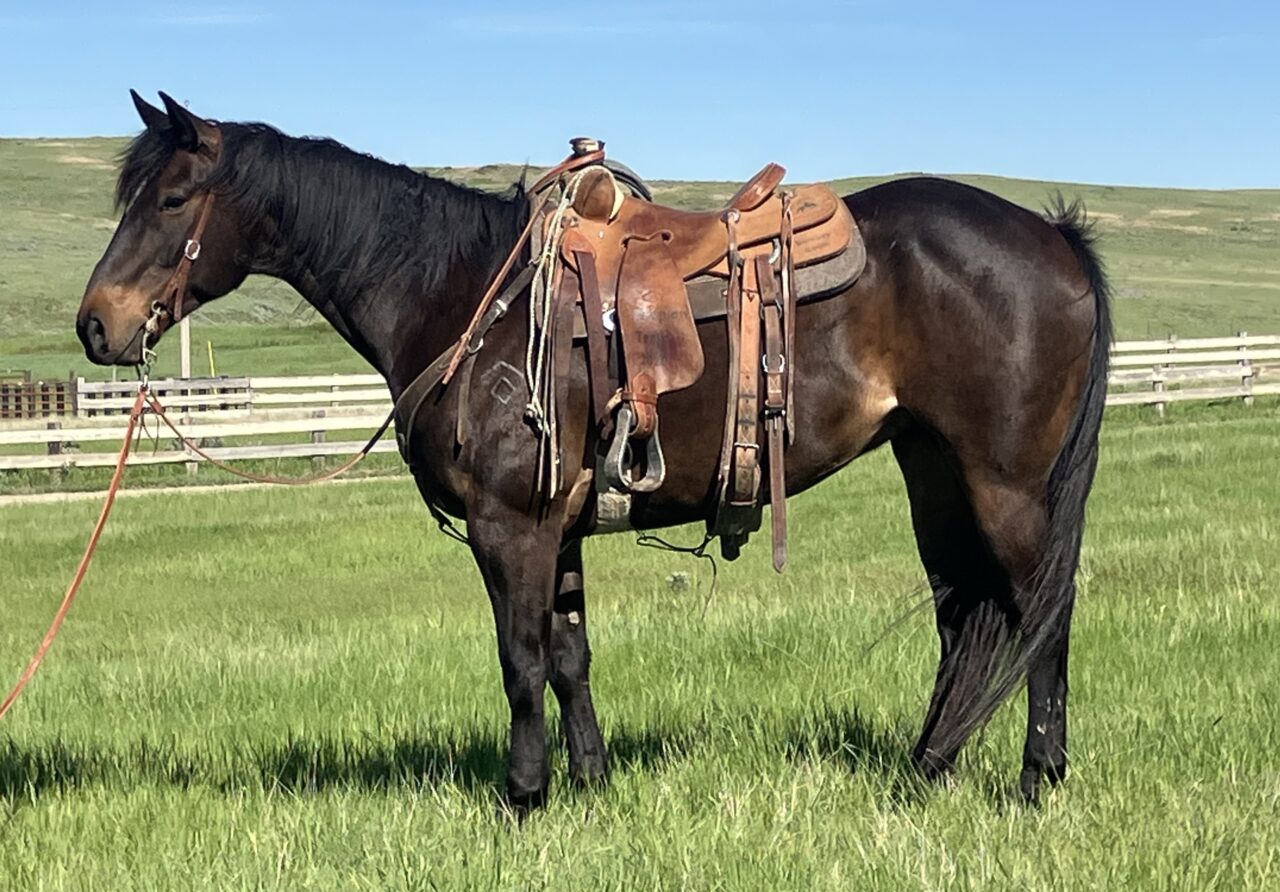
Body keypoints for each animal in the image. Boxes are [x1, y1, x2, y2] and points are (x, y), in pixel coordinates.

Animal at [76, 91, 1110, 810]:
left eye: (172, 199)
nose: (95, 325)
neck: (464, 296)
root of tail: (1053, 236)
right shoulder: (561, 527)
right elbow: (571, 655)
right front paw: (593, 782)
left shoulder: (512, 527)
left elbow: (522, 659)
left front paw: (525, 796)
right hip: (933, 473)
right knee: (964, 617)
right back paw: (928, 766)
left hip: (1005, 485)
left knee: (1043, 614)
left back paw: (1037, 778)